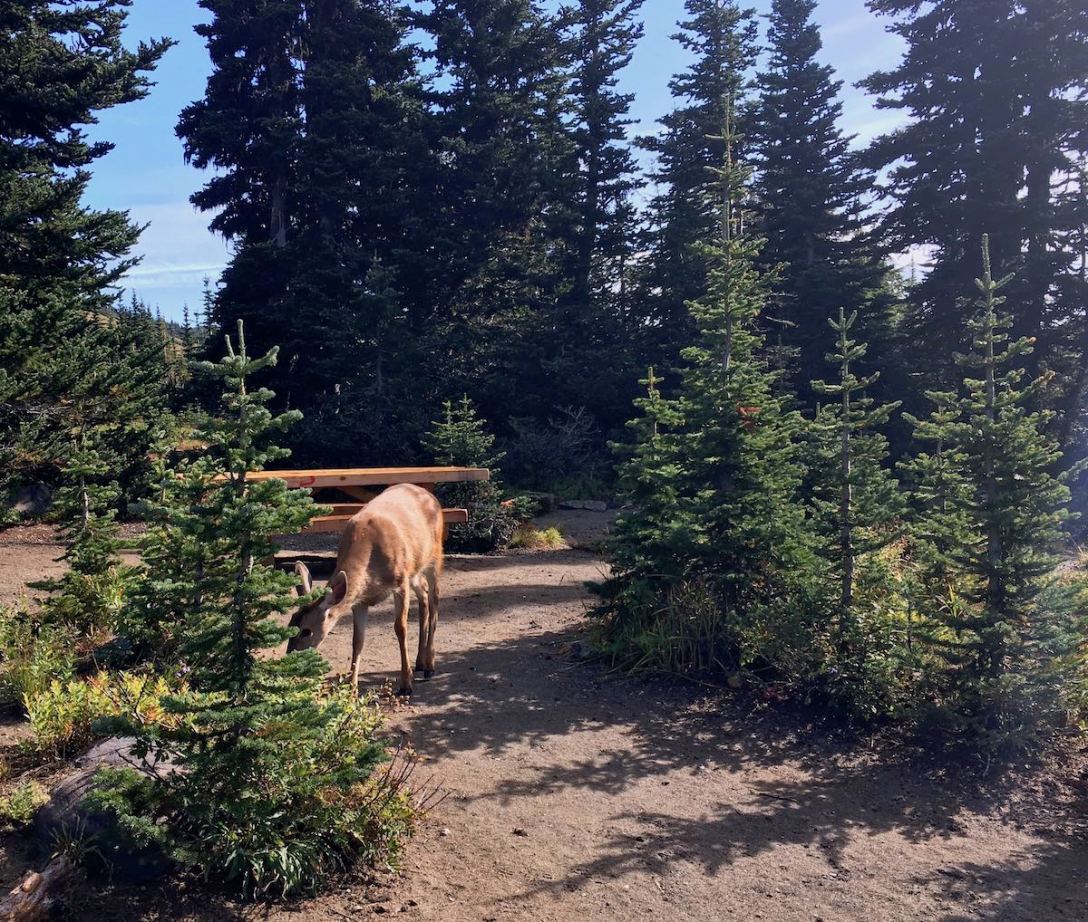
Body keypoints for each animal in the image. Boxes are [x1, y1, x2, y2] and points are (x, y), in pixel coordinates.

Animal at [286, 483, 443, 697]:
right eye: (290, 623)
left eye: (306, 631)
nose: (289, 655)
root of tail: (430, 495)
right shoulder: (359, 600)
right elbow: (357, 639)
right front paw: (351, 689)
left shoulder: (400, 581)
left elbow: (400, 629)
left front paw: (406, 685)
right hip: (415, 569)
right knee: (424, 594)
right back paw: (419, 661)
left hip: (434, 555)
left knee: (435, 600)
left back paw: (429, 665)